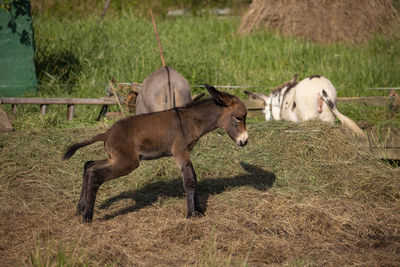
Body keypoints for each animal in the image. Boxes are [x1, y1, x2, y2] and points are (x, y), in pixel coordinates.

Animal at [62, 85, 247, 222]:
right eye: (238, 118)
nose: (244, 141)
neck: (192, 121)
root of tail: (107, 133)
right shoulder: (180, 153)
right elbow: (189, 182)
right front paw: (190, 215)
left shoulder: (186, 153)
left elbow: (193, 178)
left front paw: (199, 211)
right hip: (127, 163)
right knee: (95, 174)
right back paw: (87, 217)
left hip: (117, 159)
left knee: (89, 166)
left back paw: (80, 209)